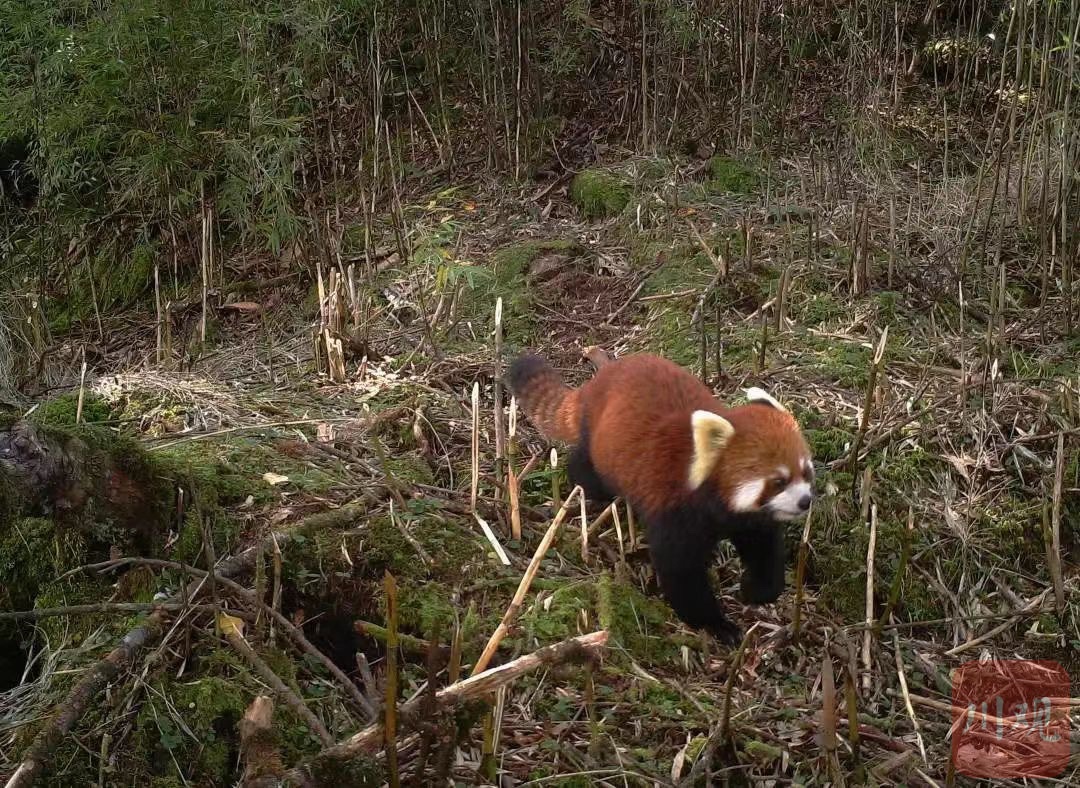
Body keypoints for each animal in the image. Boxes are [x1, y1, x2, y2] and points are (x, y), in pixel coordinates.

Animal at [509, 351, 812, 643]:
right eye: (779, 481)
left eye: (806, 471)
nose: (805, 501)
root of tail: (597, 381)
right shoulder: (674, 507)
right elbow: (680, 570)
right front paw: (716, 624)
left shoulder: (746, 519)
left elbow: (763, 547)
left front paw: (756, 590)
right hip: (599, 447)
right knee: (587, 470)